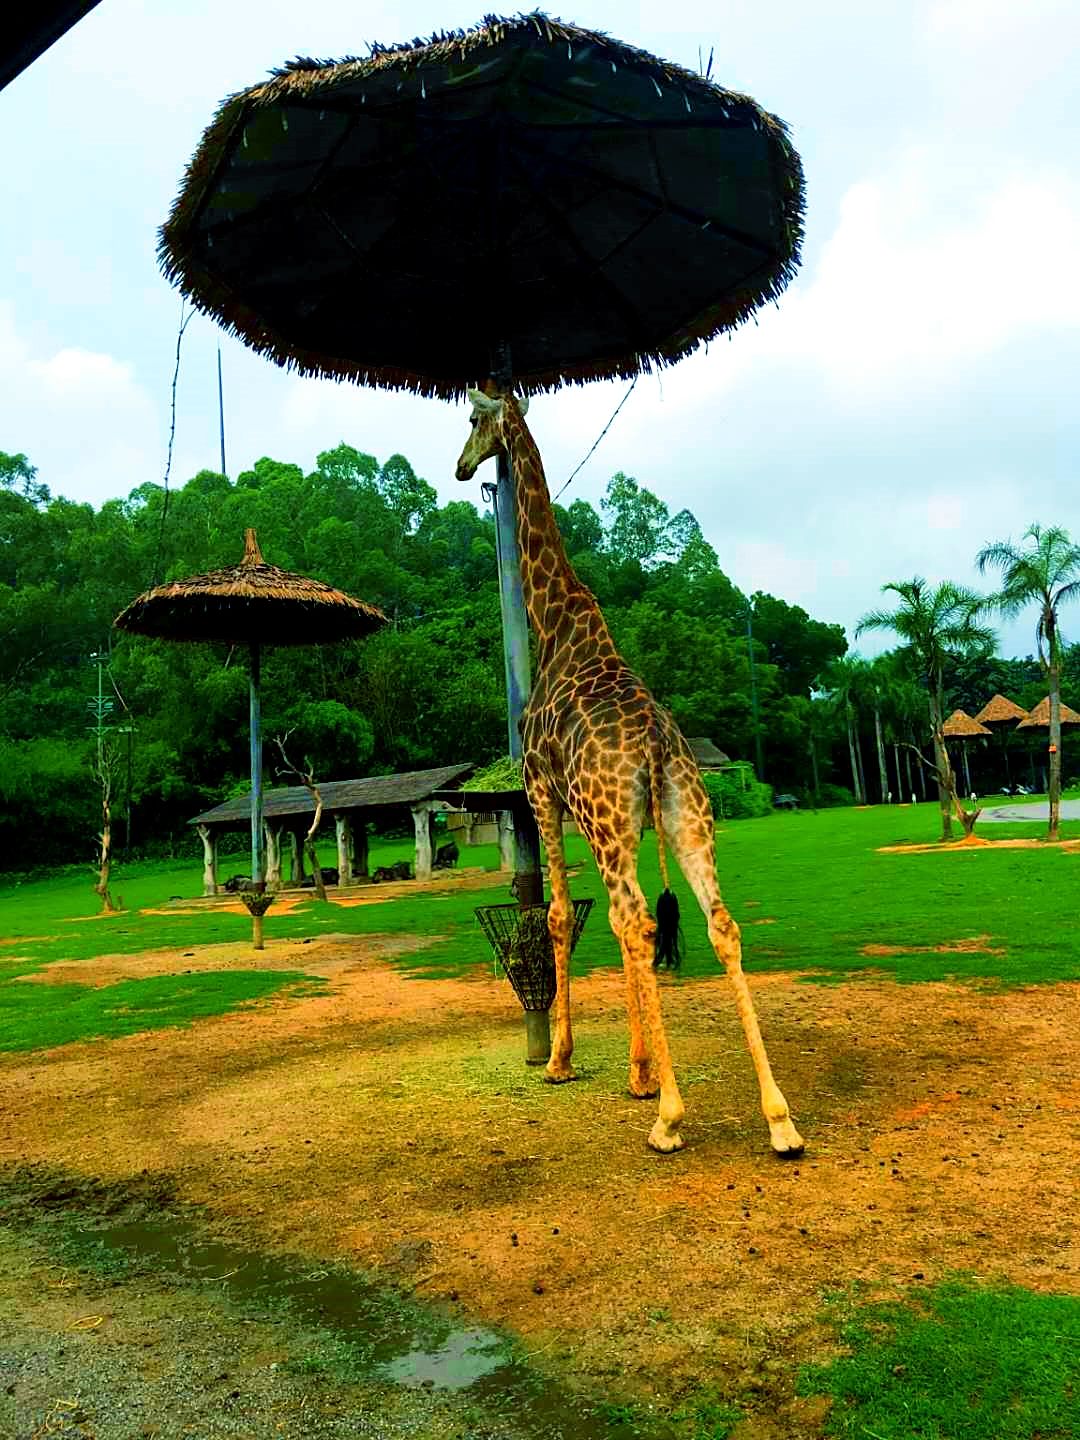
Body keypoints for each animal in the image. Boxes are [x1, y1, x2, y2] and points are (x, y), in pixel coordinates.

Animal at [457, 385, 806, 1157]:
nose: (462, 467)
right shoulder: (608, 821)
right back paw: (780, 1120)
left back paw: (670, 1119)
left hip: (612, 815)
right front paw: (639, 1070)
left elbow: (563, 916)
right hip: (680, 814)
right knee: (717, 922)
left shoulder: (542, 792)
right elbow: (615, 932)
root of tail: (653, 744)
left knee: (640, 919)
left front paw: (564, 1061)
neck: (555, 622)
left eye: (469, 421)